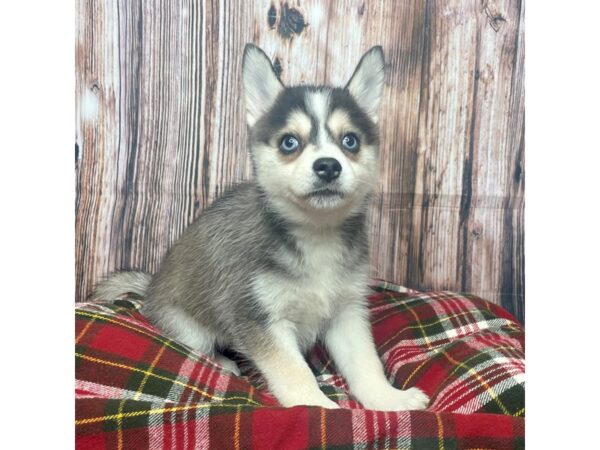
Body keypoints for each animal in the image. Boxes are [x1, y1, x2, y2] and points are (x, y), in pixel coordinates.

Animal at [94, 44, 428, 412]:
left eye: (350, 141)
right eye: (289, 143)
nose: (328, 166)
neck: (315, 236)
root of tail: (151, 287)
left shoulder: (347, 313)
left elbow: (365, 363)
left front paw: (389, 399)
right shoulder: (258, 318)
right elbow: (294, 372)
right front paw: (319, 409)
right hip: (187, 324)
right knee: (199, 347)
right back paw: (224, 362)